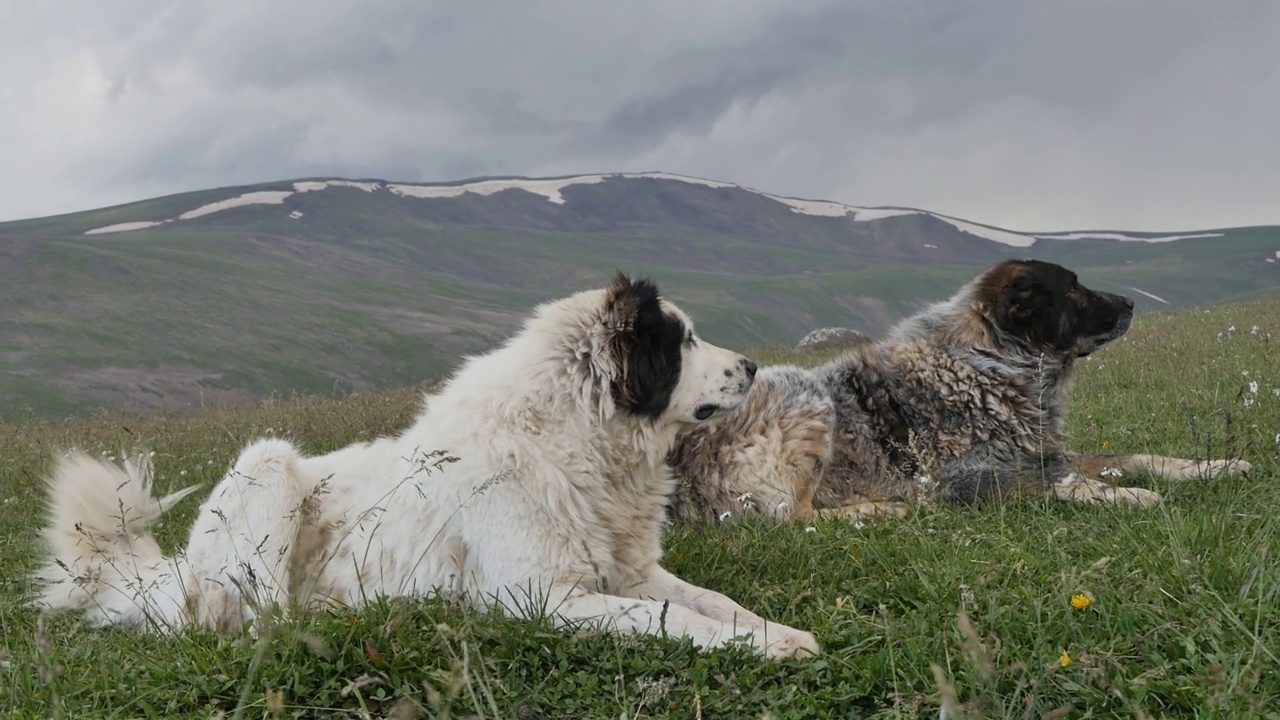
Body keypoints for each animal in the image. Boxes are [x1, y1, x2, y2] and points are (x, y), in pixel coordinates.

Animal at [40, 271, 824, 661]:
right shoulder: (544, 597)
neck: (575, 441)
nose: (751, 367)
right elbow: (667, 617)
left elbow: (709, 601)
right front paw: (758, 647)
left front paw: (775, 633)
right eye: (682, 341)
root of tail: (173, 574)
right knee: (253, 619)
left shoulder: (629, 570)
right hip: (268, 464)